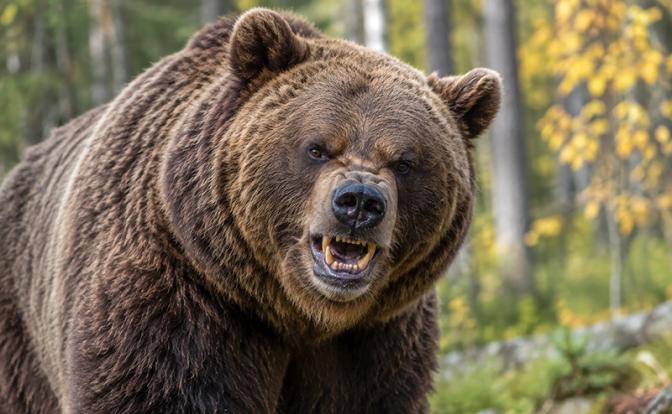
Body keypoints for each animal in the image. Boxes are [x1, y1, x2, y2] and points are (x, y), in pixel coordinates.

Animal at [0, 8, 501, 414]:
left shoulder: (376, 343)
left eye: (404, 161)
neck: (299, 315)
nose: (359, 202)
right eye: (318, 147)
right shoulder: (179, 300)